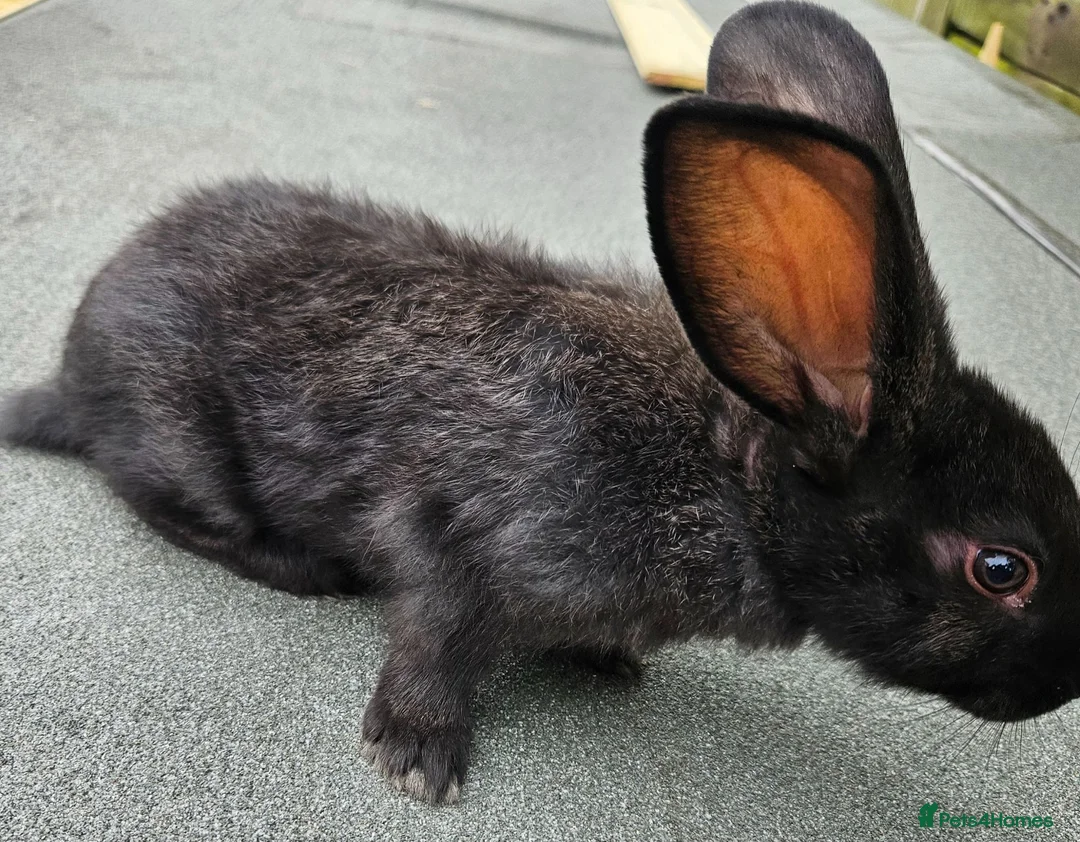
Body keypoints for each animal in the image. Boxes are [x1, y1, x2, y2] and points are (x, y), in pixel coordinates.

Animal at [4, 0, 1080, 806]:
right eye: (1001, 568)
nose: (1063, 688)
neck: (726, 476)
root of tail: (71, 371)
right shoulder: (454, 527)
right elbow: (431, 632)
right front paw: (417, 754)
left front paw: (605, 660)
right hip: (182, 440)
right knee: (163, 501)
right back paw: (304, 568)